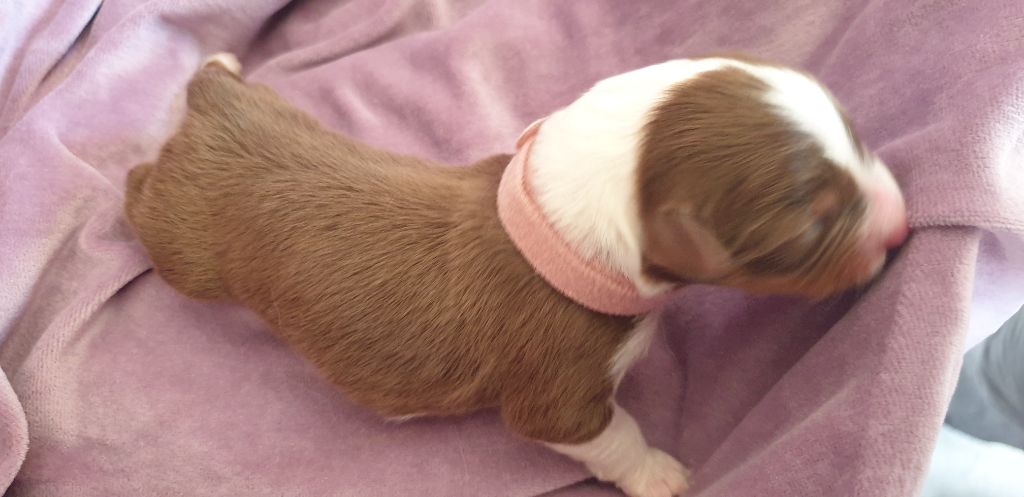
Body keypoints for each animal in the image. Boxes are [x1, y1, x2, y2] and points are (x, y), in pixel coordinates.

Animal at [124, 53, 908, 497]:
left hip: (275, 109)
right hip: (184, 245)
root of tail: (216, 106)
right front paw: (658, 473)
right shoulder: (556, 386)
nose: (902, 223)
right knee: (141, 195)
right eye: (811, 226)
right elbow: (610, 432)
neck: (557, 226)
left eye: (856, 133)